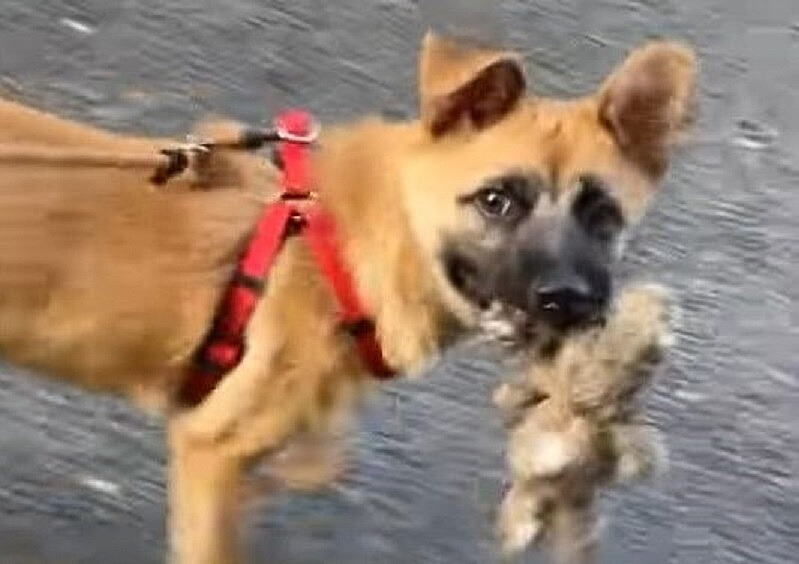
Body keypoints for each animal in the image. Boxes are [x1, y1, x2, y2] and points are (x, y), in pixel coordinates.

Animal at [0, 32, 696, 564]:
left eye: (603, 214)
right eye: (495, 201)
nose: (568, 301)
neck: (339, 247)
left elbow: (317, 459)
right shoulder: (213, 451)